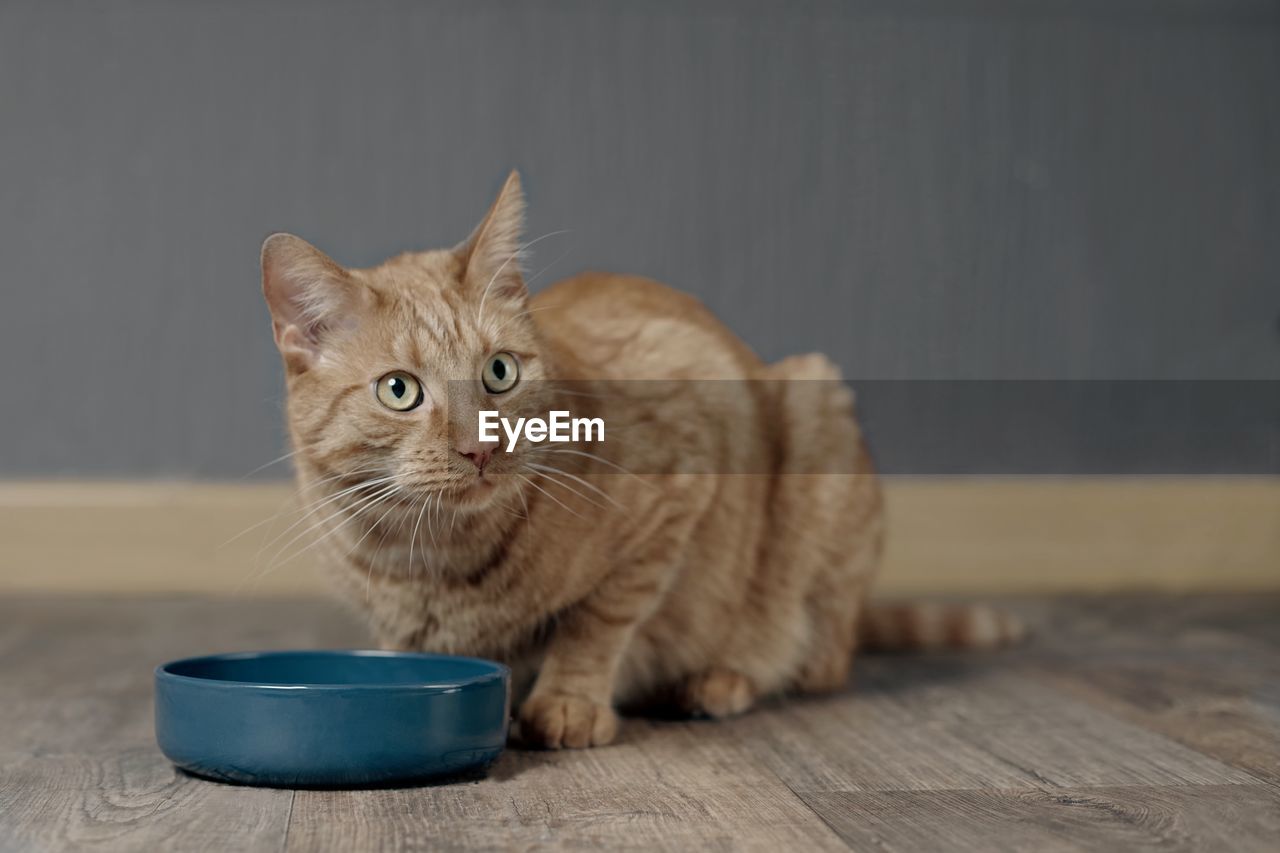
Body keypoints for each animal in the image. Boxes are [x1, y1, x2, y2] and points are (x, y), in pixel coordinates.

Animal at [262, 171, 1018, 742]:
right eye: (400, 390)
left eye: (499, 373)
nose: (481, 447)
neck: (429, 557)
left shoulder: (683, 469)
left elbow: (600, 618)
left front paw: (567, 701)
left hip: (816, 415)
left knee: (816, 657)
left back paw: (718, 680)